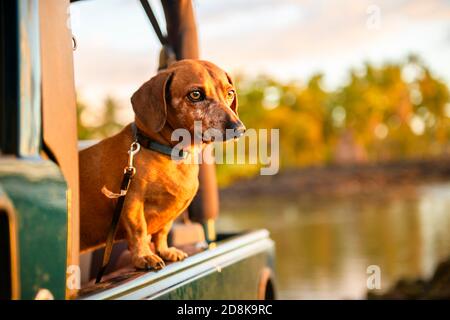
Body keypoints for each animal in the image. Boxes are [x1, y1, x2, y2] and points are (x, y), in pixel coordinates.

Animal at [79, 58, 244, 268]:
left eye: (230, 93)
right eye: (195, 94)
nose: (239, 129)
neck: (169, 154)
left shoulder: (170, 215)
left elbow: (163, 232)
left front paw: (164, 251)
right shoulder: (131, 201)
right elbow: (139, 230)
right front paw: (143, 256)